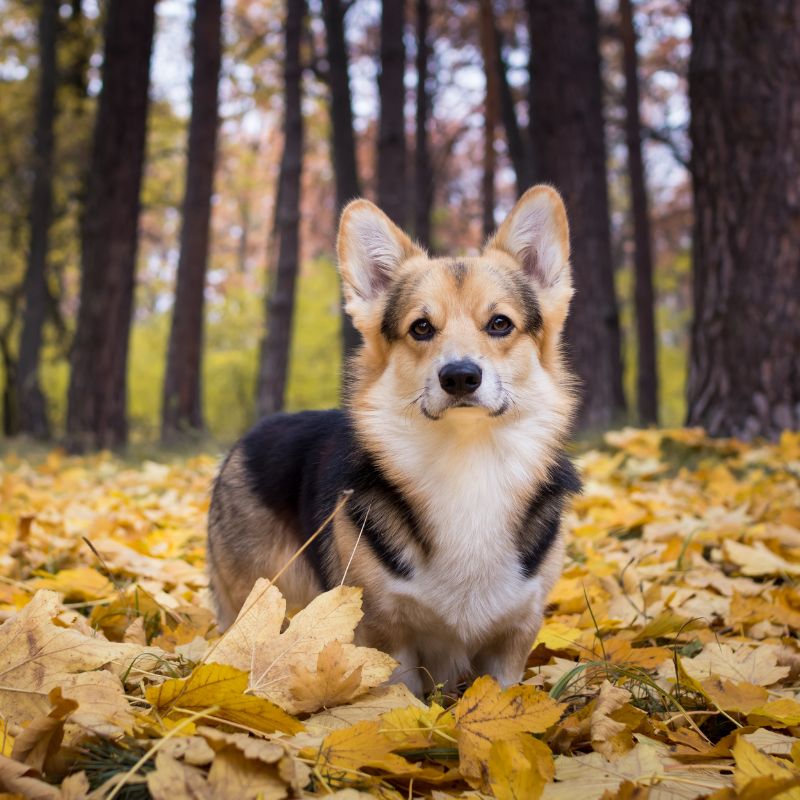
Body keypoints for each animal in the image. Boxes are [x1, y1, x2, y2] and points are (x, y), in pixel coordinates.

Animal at [209, 186, 580, 692]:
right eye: (421, 327)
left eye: (500, 323)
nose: (460, 376)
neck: (467, 462)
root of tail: (250, 435)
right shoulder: (385, 634)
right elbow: (400, 695)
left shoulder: (514, 637)